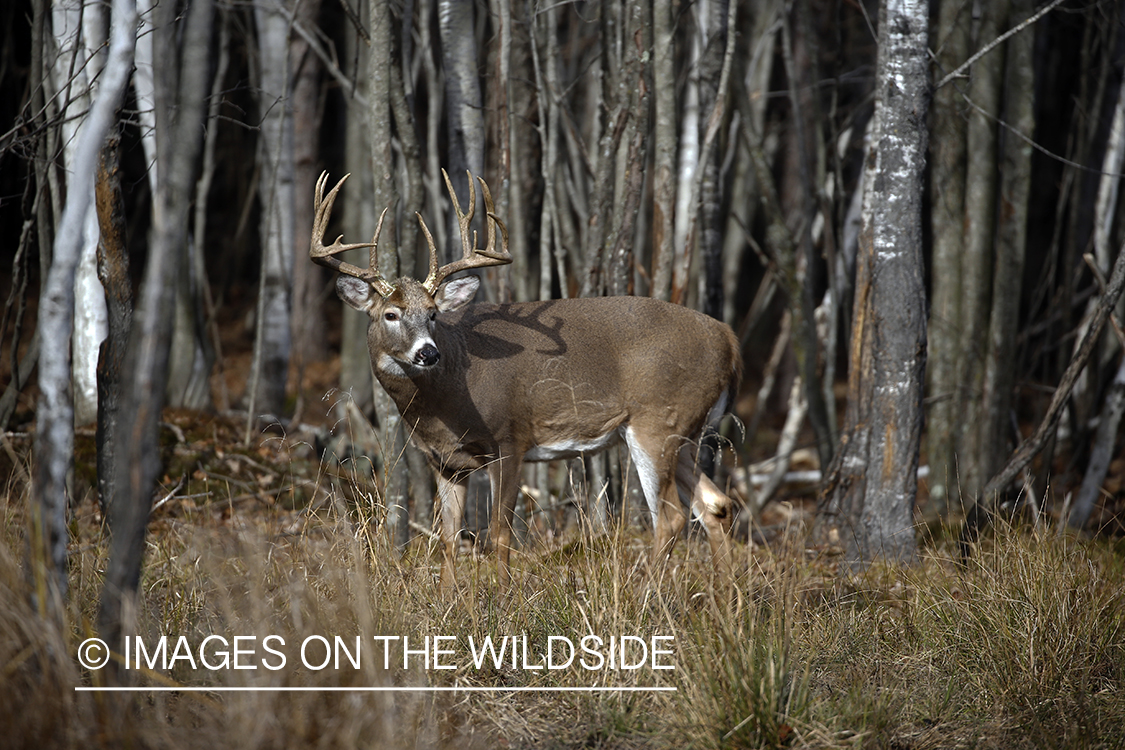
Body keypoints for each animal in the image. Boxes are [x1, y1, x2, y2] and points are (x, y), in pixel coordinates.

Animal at [312, 169, 742, 584]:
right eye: (390, 314)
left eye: (433, 313)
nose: (428, 353)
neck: (445, 400)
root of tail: (729, 337)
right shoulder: (446, 461)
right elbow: (448, 538)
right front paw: (449, 598)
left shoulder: (509, 438)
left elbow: (500, 533)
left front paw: (502, 598)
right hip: (685, 430)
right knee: (715, 504)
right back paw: (725, 599)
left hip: (658, 421)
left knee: (670, 517)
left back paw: (648, 594)